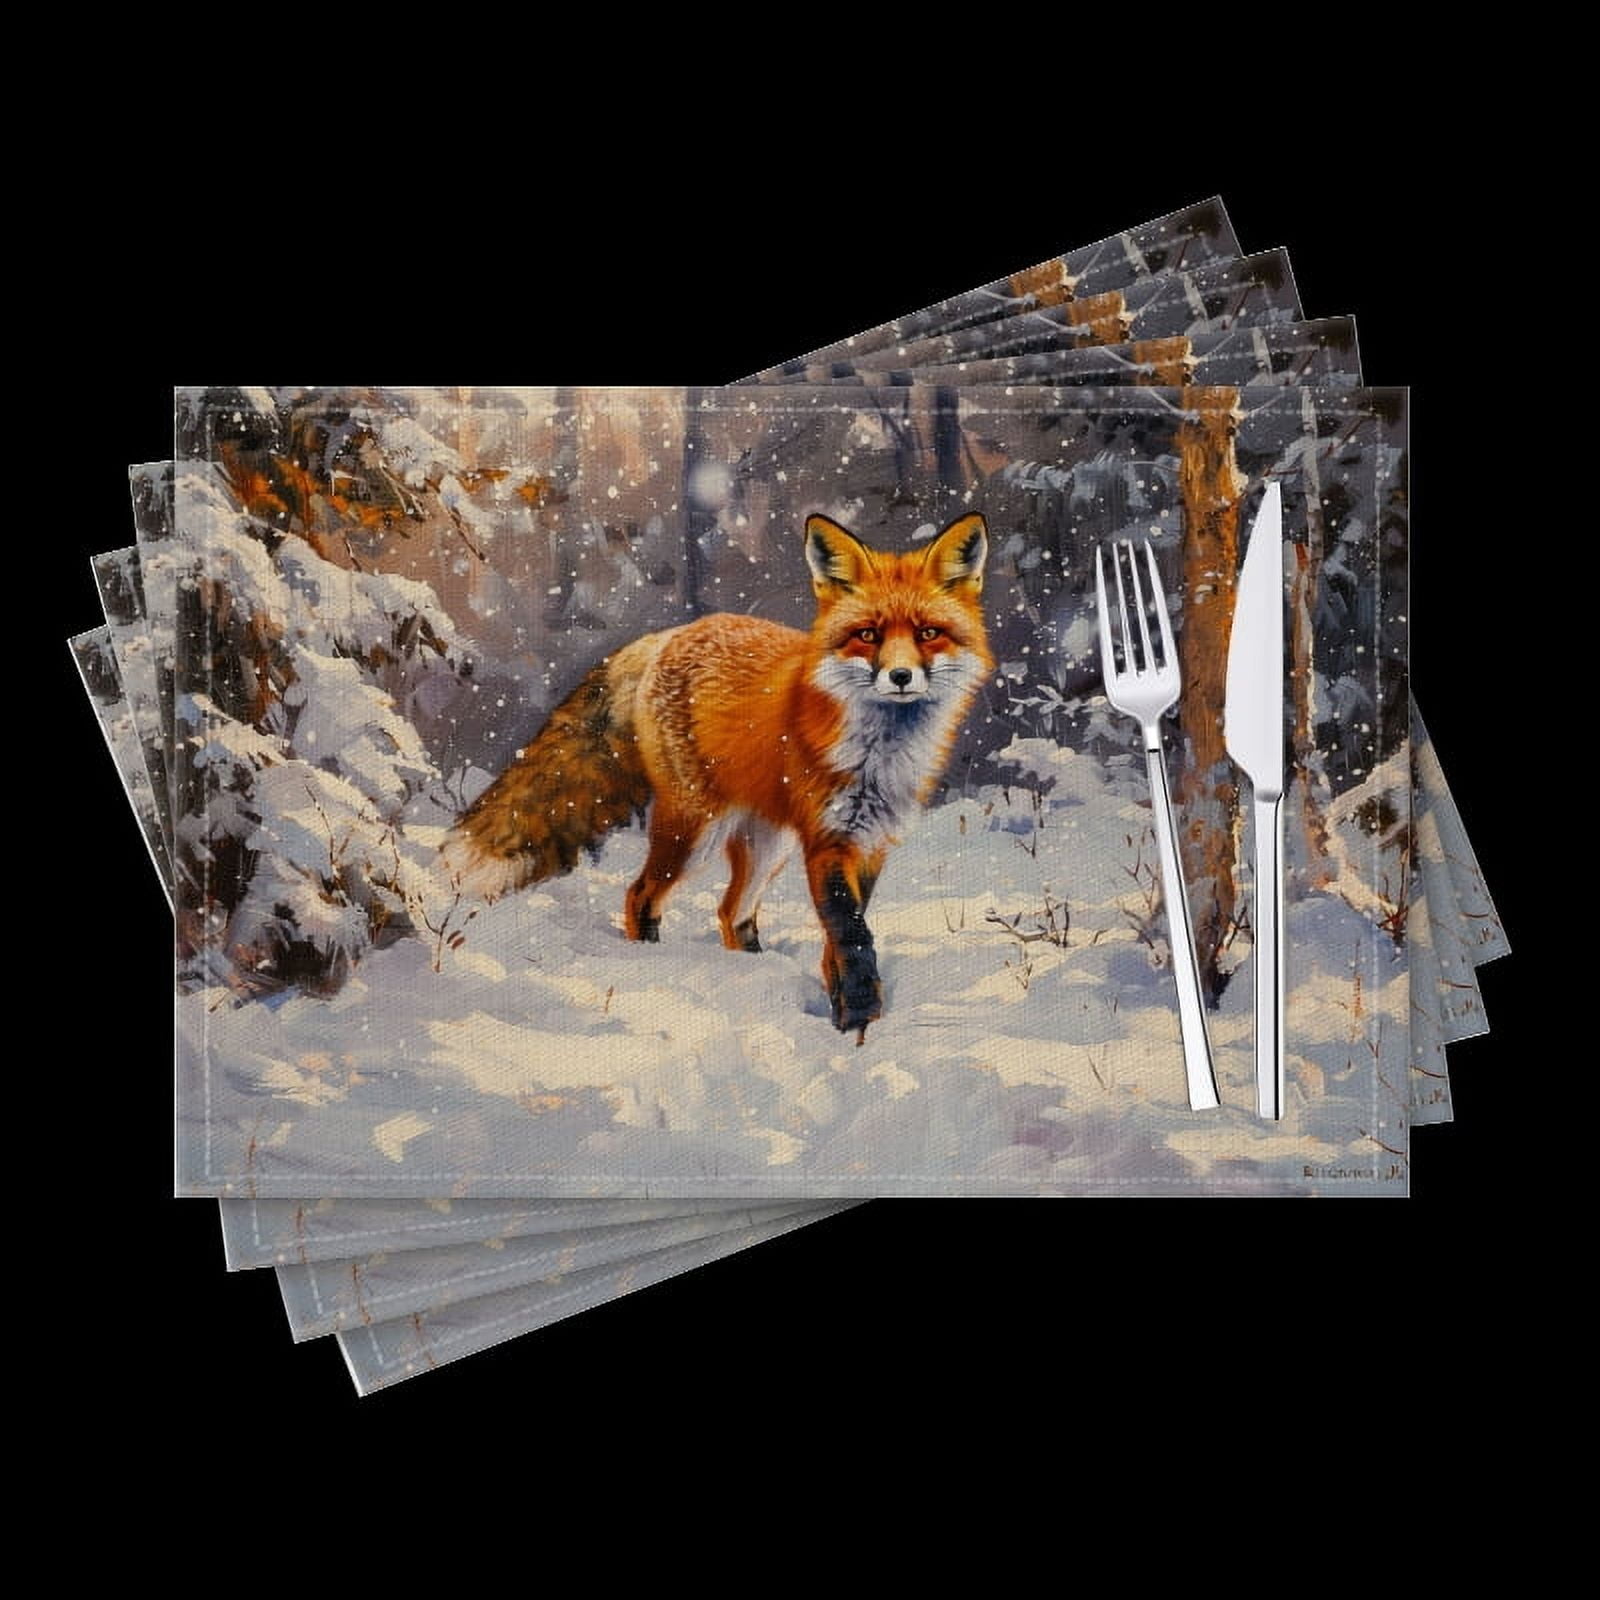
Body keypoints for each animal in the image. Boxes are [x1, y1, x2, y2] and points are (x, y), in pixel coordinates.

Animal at [441, 512, 992, 1038]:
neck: (879, 754)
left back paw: (756, 976)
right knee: (641, 894)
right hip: (694, 830)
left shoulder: (869, 841)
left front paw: (847, 1010)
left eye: (928, 633)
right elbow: (850, 934)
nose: (900, 677)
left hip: (767, 843)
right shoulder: (828, 839)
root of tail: (667, 635)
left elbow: (840, 937)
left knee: (732, 912)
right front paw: (857, 1021)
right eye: (868, 635)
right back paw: (654, 960)